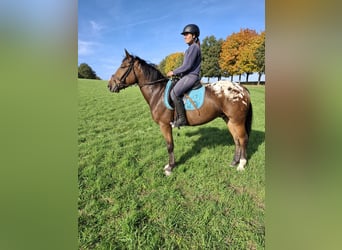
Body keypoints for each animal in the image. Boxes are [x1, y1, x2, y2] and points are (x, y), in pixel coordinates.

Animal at [108, 49, 252, 176]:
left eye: (123, 66)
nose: (110, 85)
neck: (158, 92)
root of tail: (241, 88)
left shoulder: (165, 125)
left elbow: (170, 146)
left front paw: (170, 167)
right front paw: (170, 165)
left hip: (237, 121)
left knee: (243, 139)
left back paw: (241, 164)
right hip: (229, 120)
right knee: (236, 139)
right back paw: (234, 162)